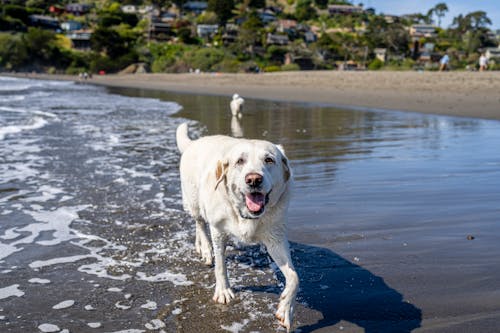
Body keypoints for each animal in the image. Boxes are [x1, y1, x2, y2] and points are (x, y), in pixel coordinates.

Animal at [176, 123, 298, 330]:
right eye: (240, 161)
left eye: (269, 159)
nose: (254, 179)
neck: (246, 215)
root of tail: (194, 143)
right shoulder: (218, 231)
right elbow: (220, 265)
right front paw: (223, 290)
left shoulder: (275, 239)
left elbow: (294, 277)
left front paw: (285, 310)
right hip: (194, 200)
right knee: (199, 222)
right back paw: (205, 248)